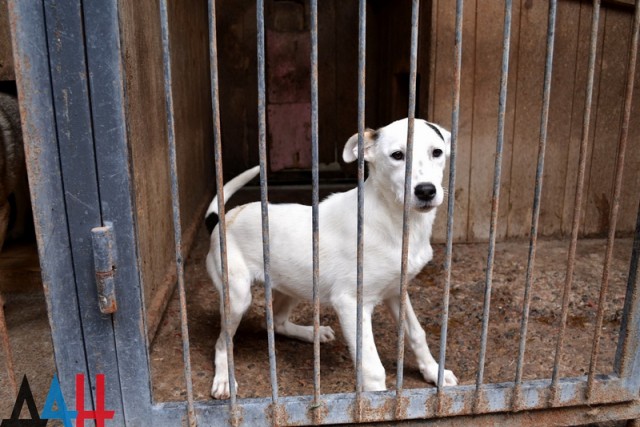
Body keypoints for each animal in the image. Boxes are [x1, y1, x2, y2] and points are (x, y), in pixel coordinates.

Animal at [204, 118, 456, 402]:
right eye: (397, 156)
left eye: (437, 152)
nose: (426, 191)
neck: (396, 220)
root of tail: (222, 219)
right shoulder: (350, 302)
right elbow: (372, 368)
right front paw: (377, 400)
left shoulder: (396, 290)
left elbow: (417, 333)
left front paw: (434, 371)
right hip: (237, 297)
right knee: (222, 343)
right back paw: (224, 380)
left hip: (295, 284)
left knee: (277, 322)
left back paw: (312, 332)